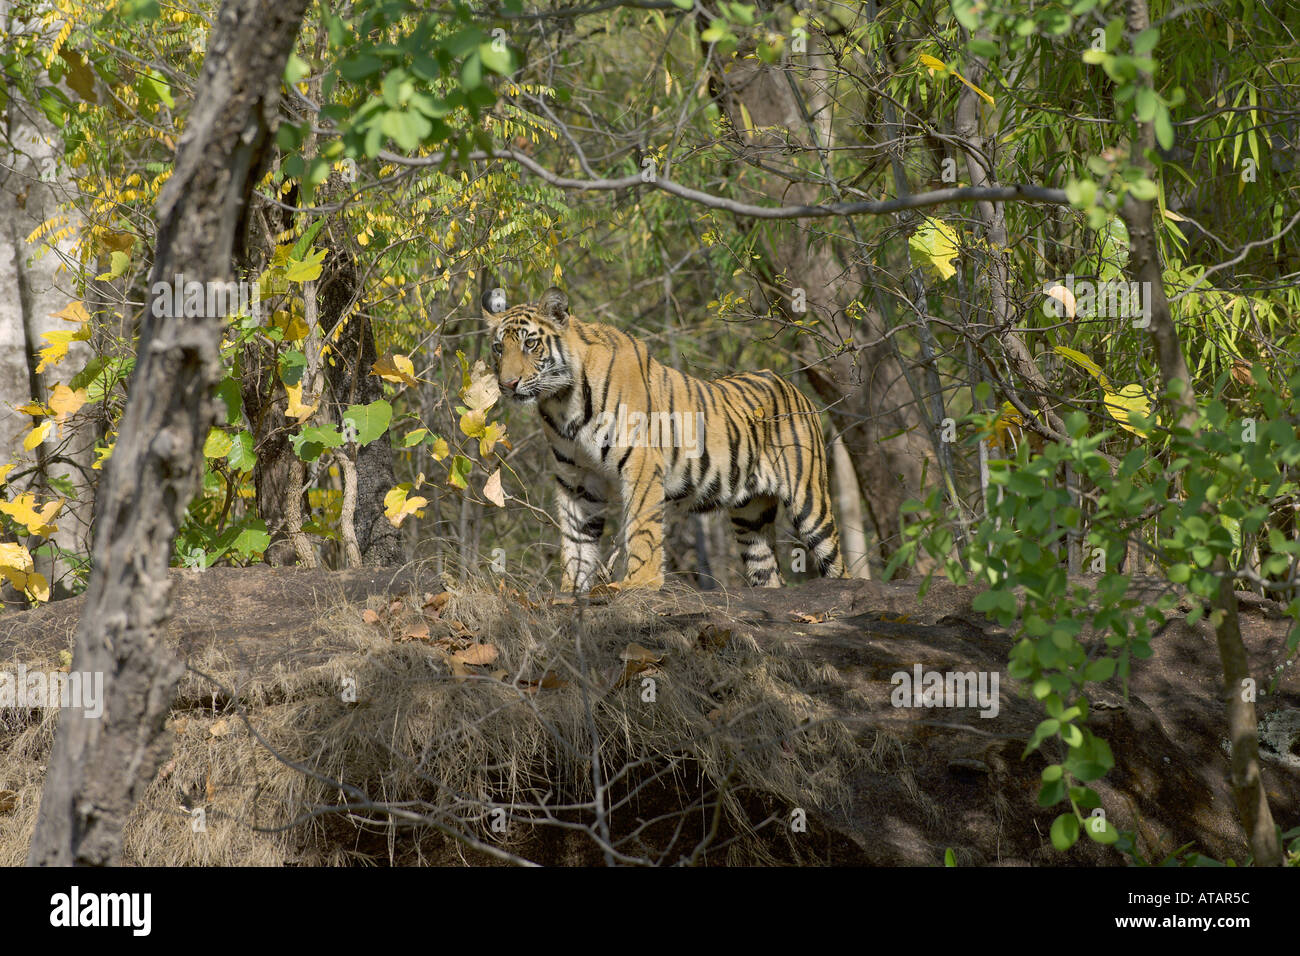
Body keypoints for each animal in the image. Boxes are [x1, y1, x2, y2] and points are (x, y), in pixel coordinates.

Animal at [483, 287, 847, 595]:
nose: (507, 384)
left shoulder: (641, 462)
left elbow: (641, 527)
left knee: (836, 562)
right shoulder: (576, 479)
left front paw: (640, 583)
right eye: (499, 348)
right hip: (751, 516)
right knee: (769, 573)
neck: (562, 401)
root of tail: (795, 388)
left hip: (810, 500)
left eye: (530, 344)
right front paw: (571, 592)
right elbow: (576, 539)